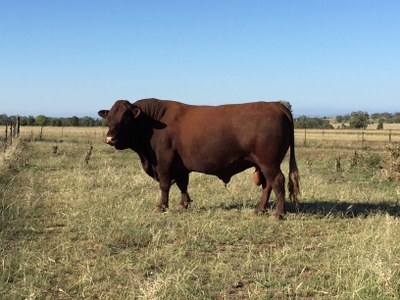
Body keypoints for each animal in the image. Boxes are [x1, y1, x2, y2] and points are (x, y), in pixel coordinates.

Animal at [99, 98, 300, 218]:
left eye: (125, 119)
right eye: (109, 118)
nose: (110, 138)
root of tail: (276, 104)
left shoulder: (164, 163)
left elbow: (164, 185)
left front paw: (162, 206)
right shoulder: (180, 166)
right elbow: (182, 185)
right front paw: (183, 204)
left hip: (269, 162)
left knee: (277, 181)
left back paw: (279, 214)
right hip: (263, 163)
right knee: (267, 185)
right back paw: (260, 209)